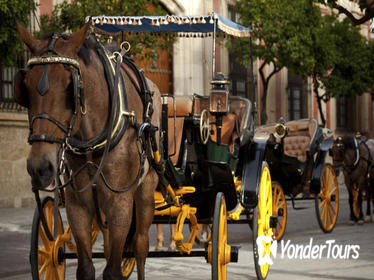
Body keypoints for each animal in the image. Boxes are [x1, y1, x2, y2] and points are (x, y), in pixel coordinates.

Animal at [17, 22, 161, 280]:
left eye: (70, 87)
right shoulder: (78, 205)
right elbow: (85, 267)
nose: (40, 167)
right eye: (25, 87)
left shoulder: (119, 202)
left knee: (141, 247)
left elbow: (113, 270)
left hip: (145, 190)